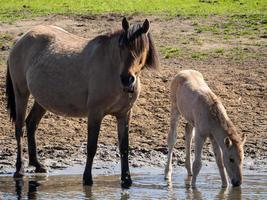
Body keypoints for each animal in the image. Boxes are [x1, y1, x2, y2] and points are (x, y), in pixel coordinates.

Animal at [5, 18, 159, 188]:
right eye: (122, 46)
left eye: (141, 48)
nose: (127, 79)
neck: (112, 68)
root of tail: (21, 39)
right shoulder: (95, 113)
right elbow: (92, 147)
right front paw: (87, 179)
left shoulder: (124, 114)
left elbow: (124, 148)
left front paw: (126, 180)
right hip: (21, 93)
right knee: (19, 128)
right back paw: (19, 169)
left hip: (42, 100)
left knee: (31, 123)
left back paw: (37, 165)